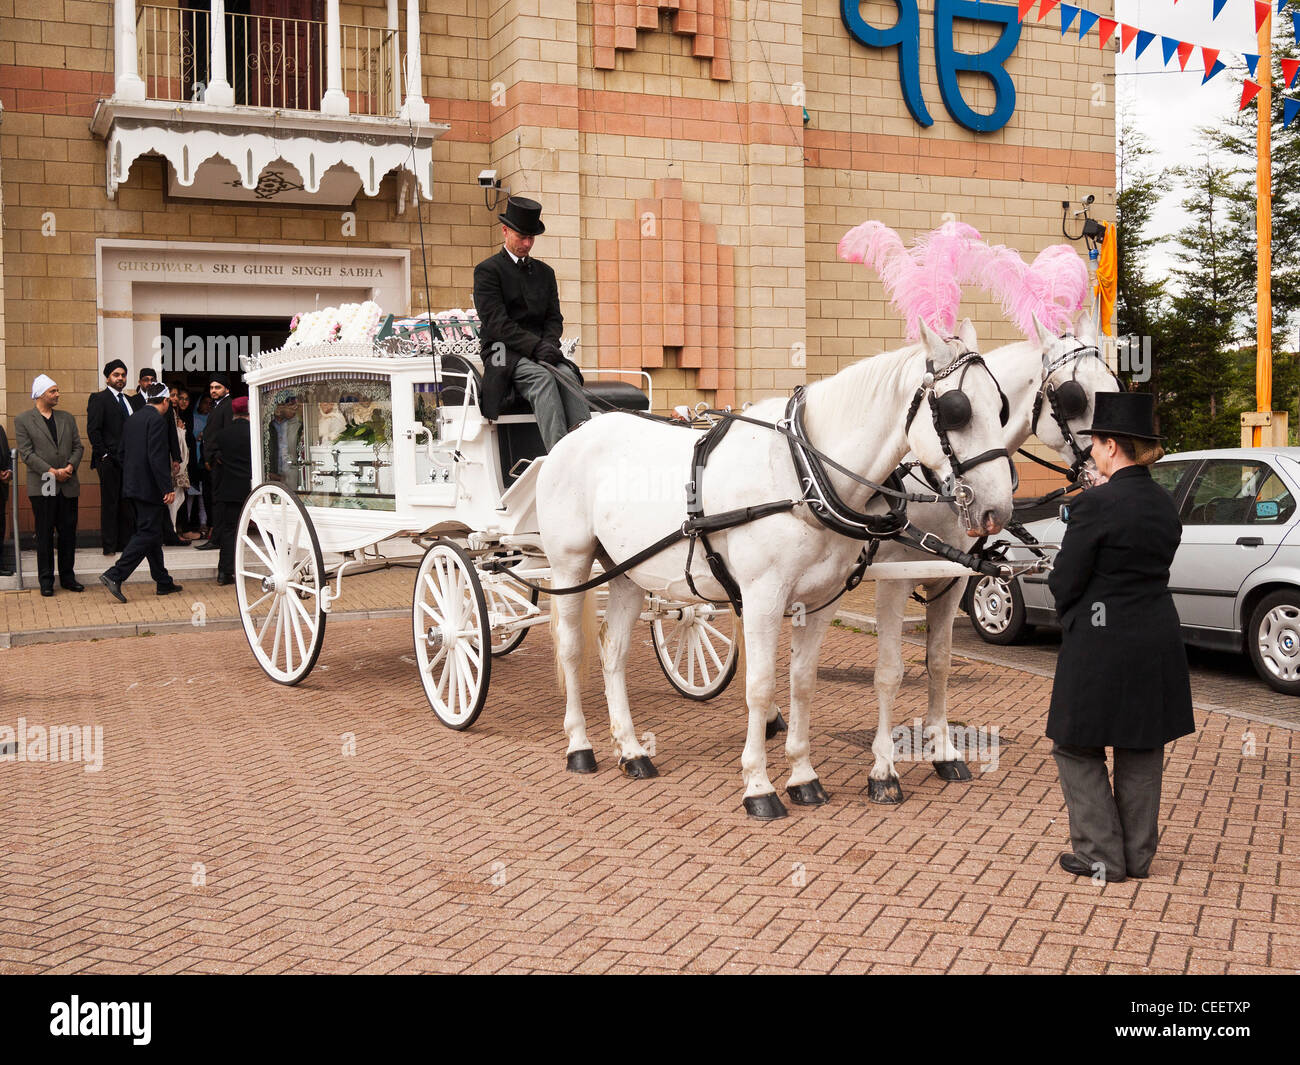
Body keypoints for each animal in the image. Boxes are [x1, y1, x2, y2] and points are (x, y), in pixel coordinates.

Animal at [535, 321, 1013, 821]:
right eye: (956, 410)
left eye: (1000, 406)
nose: (997, 510)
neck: (803, 475)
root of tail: (576, 433)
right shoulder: (765, 597)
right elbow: (762, 686)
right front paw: (759, 786)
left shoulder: (821, 601)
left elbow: (802, 682)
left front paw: (803, 776)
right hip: (571, 565)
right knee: (571, 649)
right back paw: (580, 746)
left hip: (627, 573)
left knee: (614, 651)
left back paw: (631, 750)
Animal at [863, 312, 1118, 806]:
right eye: (1073, 397)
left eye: (1115, 384)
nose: (1111, 469)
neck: (933, 480)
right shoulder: (892, 582)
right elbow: (889, 672)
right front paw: (883, 769)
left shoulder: (953, 578)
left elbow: (939, 662)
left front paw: (943, 752)